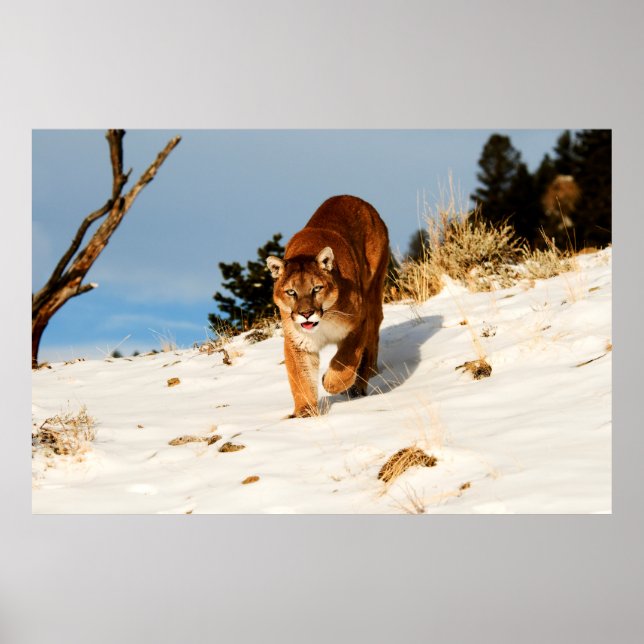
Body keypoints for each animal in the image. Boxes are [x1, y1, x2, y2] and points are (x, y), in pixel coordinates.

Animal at [266, 195, 390, 418]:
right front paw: (305, 413)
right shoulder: (297, 342)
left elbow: (345, 361)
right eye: (291, 292)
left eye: (316, 288)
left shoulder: (358, 324)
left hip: (374, 290)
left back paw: (361, 382)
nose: (306, 314)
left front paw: (330, 382)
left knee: (372, 339)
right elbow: (301, 378)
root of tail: (350, 196)